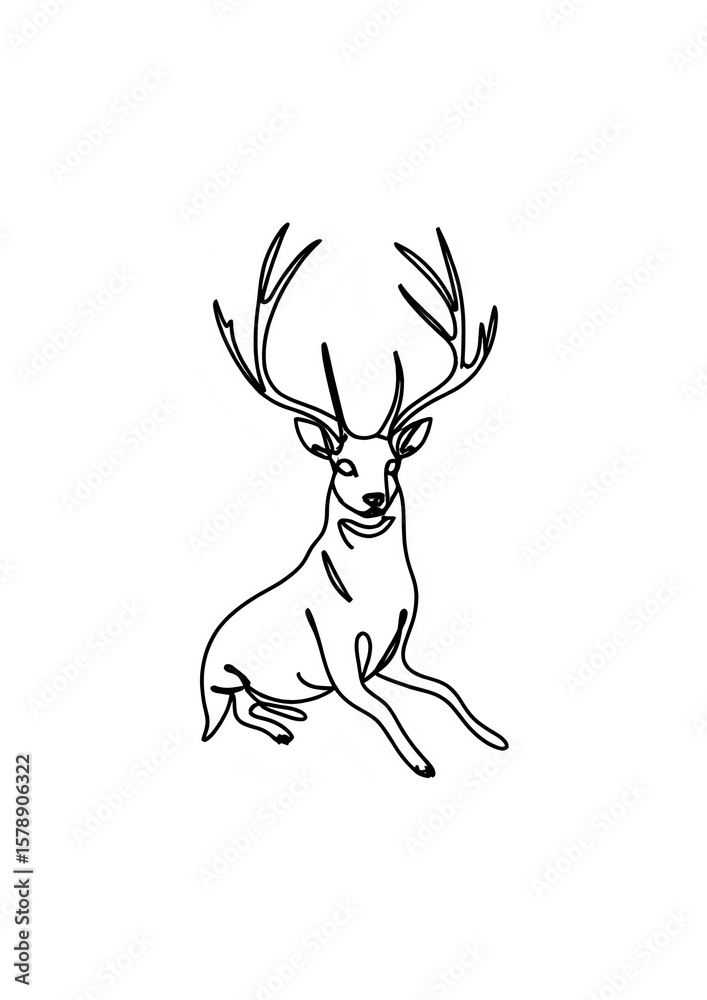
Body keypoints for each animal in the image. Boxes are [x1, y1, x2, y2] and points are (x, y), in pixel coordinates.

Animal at [200, 224, 507, 777]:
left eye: (393, 463)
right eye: (342, 465)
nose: (373, 498)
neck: (374, 593)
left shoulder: (394, 654)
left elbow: (445, 688)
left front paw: (491, 735)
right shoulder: (339, 656)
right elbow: (383, 707)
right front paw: (421, 762)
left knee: (255, 703)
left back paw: (287, 715)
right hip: (221, 680)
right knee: (234, 710)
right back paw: (279, 728)